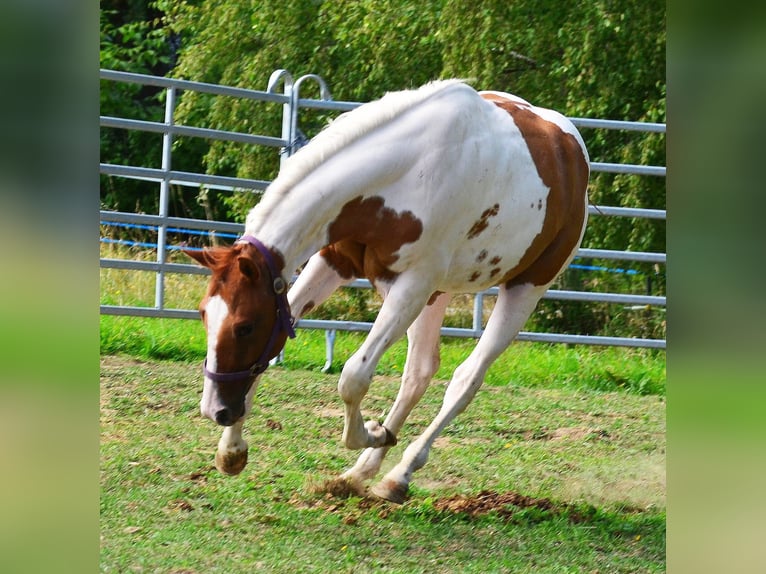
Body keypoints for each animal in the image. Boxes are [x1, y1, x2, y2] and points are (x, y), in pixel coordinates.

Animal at [185, 80, 589, 503]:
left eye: (245, 326)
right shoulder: (333, 262)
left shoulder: (413, 284)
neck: (406, 172)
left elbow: (354, 377)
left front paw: (372, 433)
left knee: (464, 381)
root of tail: (571, 148)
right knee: (420, 372)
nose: (215, 411)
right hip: (438, 294)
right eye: (203, 314)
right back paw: (361, 472)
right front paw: (231, 451)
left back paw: (398, 473)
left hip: (524, 289)